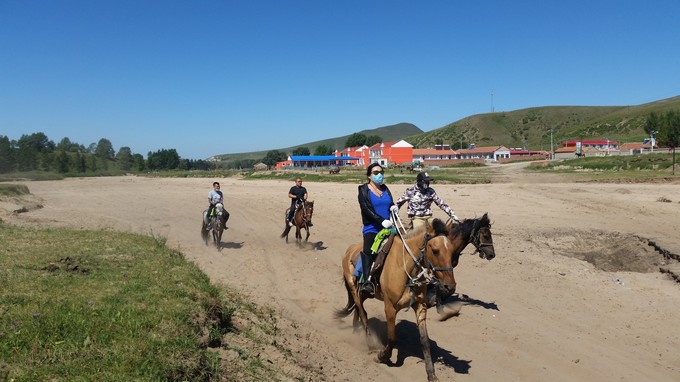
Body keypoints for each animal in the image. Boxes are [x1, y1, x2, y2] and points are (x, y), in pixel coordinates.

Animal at [338, 212, 496, 382]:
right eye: (435, 250)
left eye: (451, 250)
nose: (492, 254)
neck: (406, 268)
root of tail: (350, 250)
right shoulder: (390, 307)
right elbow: (392, 338)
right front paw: (382, 356)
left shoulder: (420, 306)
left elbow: (425, 340)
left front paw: (431, 373)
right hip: (355, 288)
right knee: (363, 313)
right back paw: (369, 343)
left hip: (365, 292)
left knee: (358, 307)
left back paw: (356, 329)